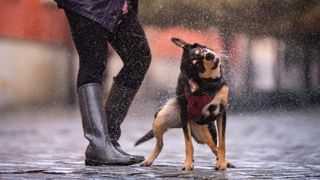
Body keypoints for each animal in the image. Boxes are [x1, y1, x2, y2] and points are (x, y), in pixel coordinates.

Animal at [134, 37, 234, 170]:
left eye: (201, 51)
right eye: (198, 64)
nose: (208, 55)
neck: (210, 83)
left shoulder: (221, 112)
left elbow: (222, 143)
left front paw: (222, 163)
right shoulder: (184, 113)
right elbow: (188, 144)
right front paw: (187, 163)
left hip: (206, 133)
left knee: (214, 147)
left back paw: (226, 162)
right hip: (161, 118)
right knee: (160, 144)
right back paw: (148, 160)